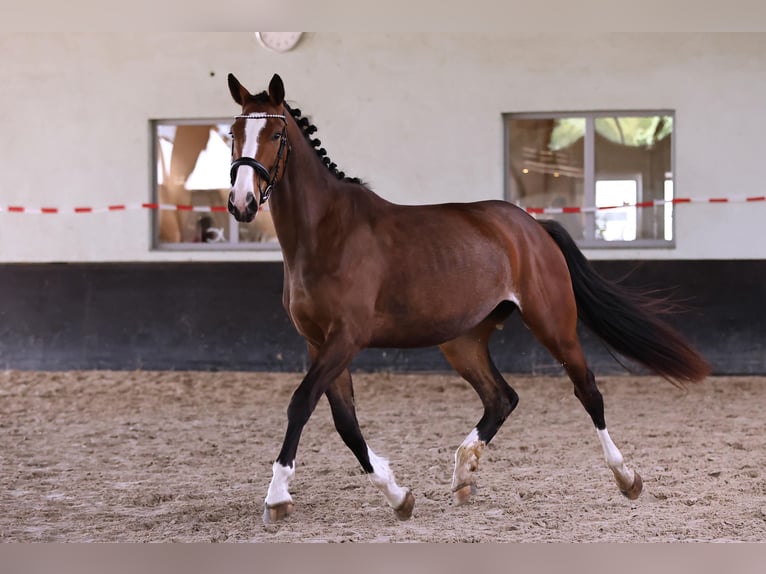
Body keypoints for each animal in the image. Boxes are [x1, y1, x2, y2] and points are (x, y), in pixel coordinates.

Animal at [225, 73, 710, 523]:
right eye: (233, 132)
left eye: (276, 135)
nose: (242, 202)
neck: (326, 233)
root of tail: (532, 227)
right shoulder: (318, 342)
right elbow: (345, 422)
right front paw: (398, 496)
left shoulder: (346, 337)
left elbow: (301, 403)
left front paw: (277, 497)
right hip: (462, 341)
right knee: (501, 398)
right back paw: (463, 473)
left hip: (553, 323)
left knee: (587, 390)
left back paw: (626, 477)